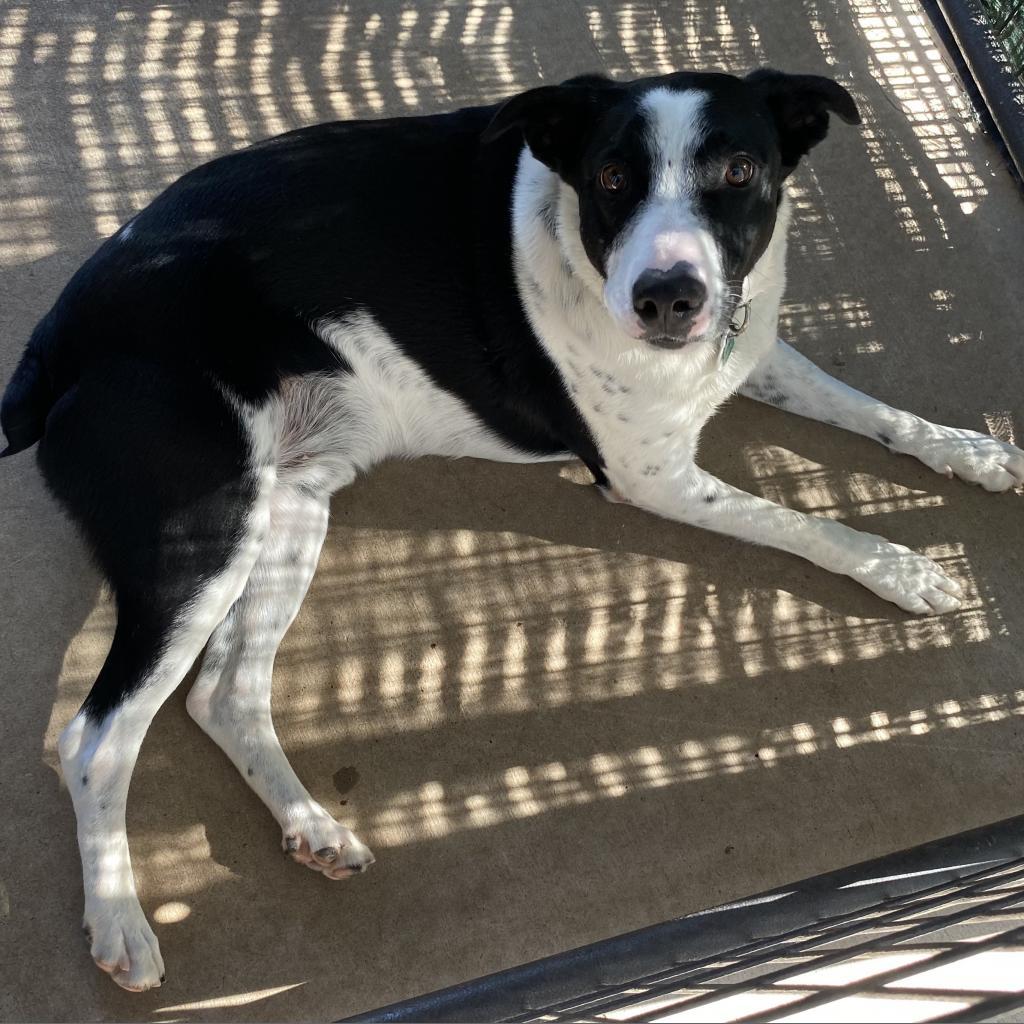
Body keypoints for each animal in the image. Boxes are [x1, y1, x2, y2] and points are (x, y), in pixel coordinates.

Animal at [6, 66, 1024, 991]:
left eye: (739, 170)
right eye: (610, 177)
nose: (668, 299)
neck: (579, 243)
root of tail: (55, 336)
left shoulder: (752, 350)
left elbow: (871, 412)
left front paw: (971, 450)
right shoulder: (648, 475)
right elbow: (808, 525)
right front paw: (899, 565)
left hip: (290, 503)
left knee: (224, 695)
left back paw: (313, 829)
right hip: (207, 532)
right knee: (95, 738)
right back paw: (121, 922)